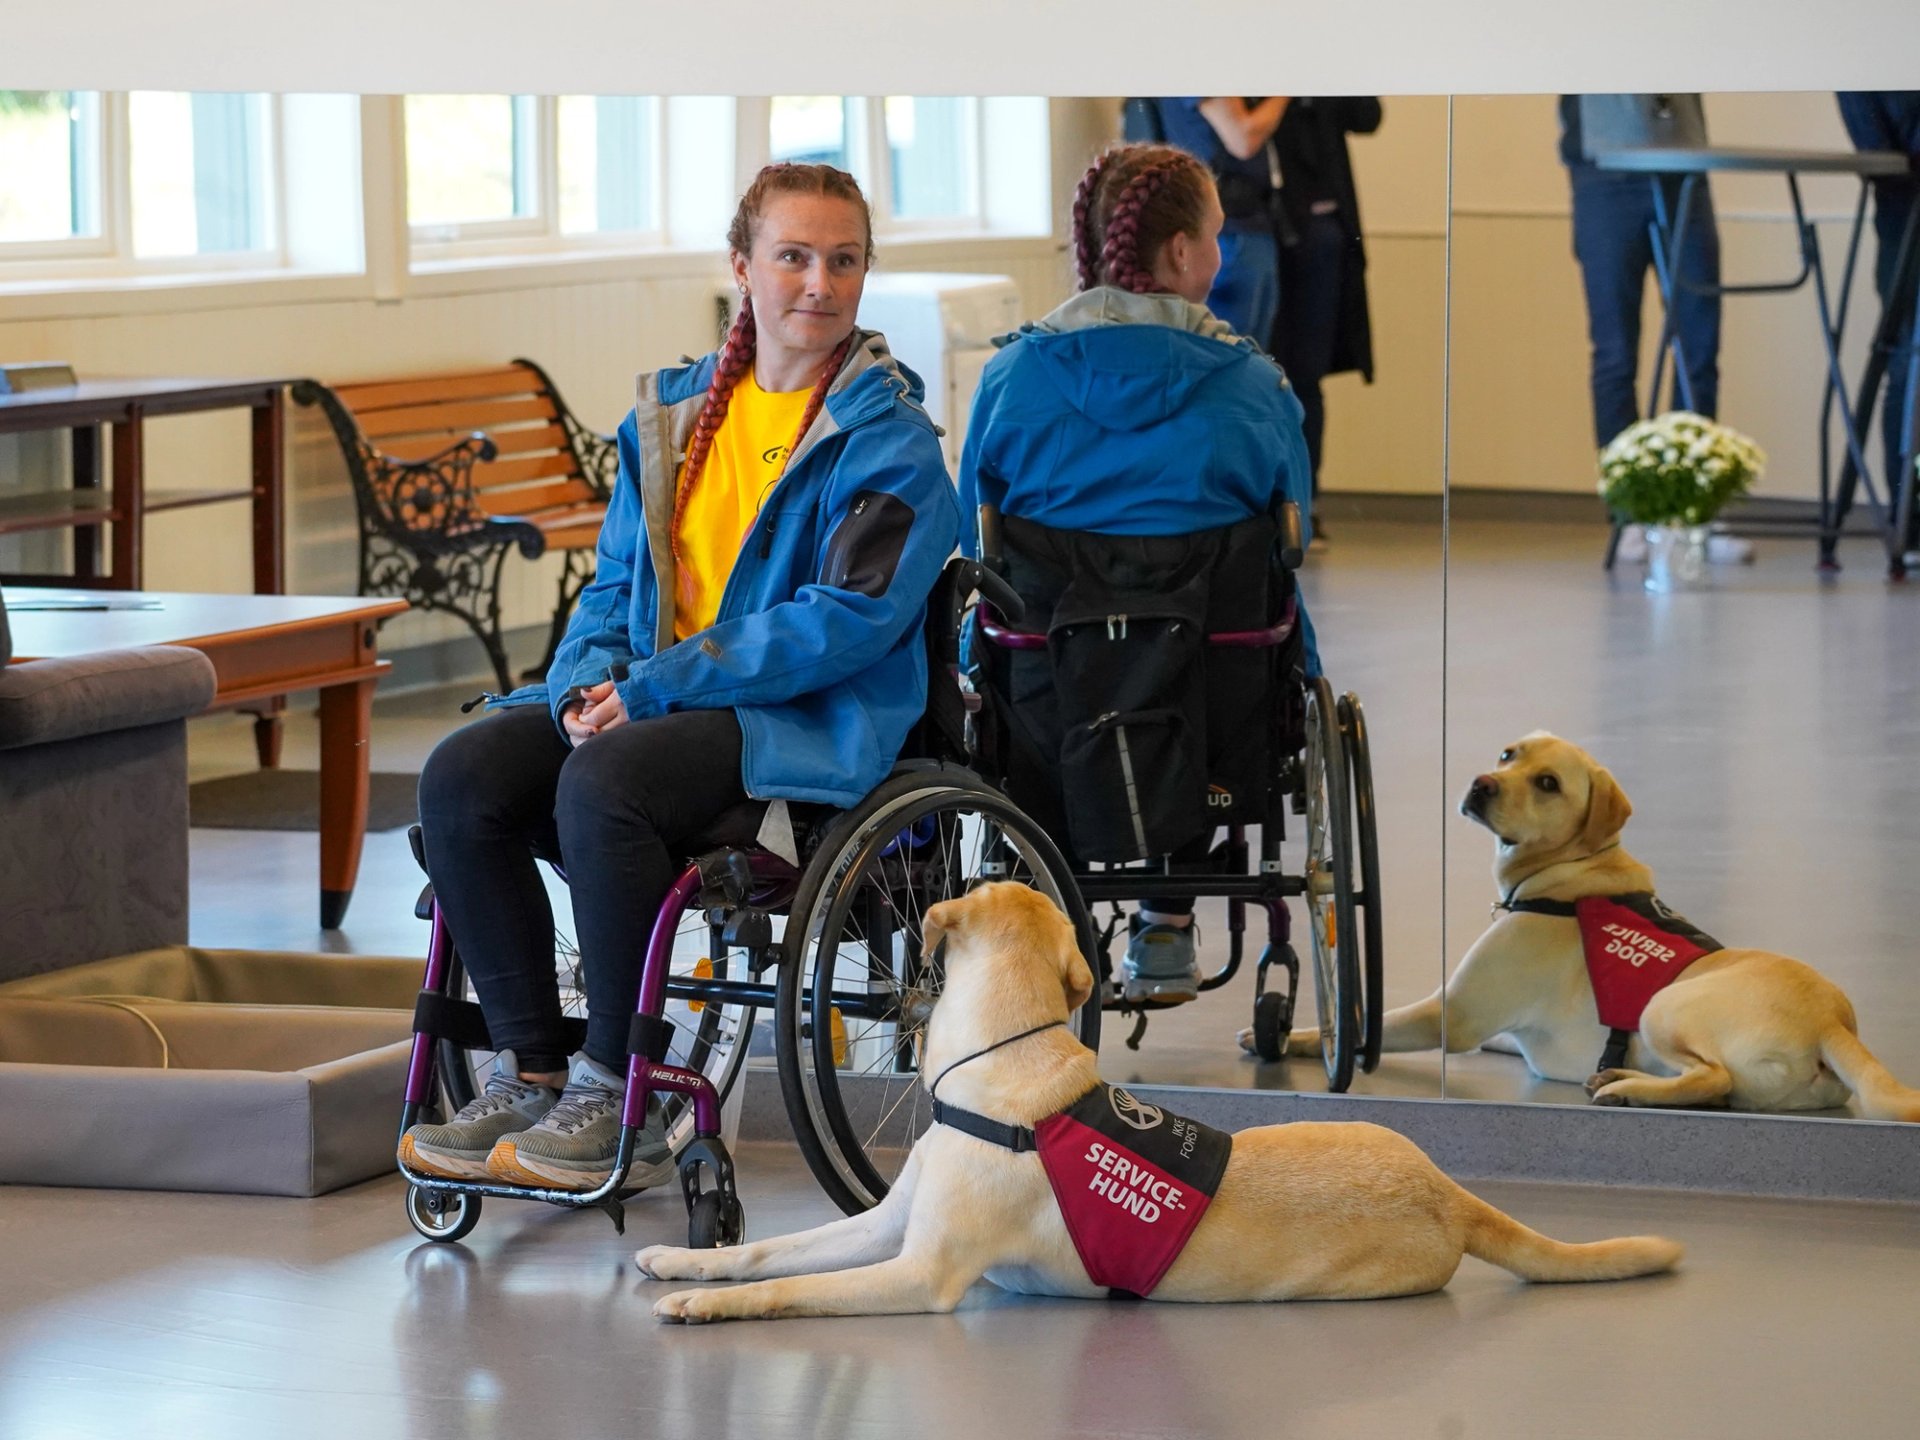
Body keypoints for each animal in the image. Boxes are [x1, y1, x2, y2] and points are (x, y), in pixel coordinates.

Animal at [636, 882, 1680, 1323]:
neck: (1006, 1063)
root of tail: (1451, 1192)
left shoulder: (920, 1274)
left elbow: (789, 1286)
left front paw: (708, 1307)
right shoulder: (884, 1228)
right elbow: (772, 1251)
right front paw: (680, 1259)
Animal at [1283, 731, 1920, 1120]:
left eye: (1549, 783)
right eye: (1509, 755)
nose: (1482, 783)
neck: (1569, 871)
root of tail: (1833, 1021)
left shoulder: (1450, 1013)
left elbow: (1373, 1022)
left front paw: (1301, 1037)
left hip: (1664, 1007)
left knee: (1712, 1078)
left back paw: (1627, 1087)